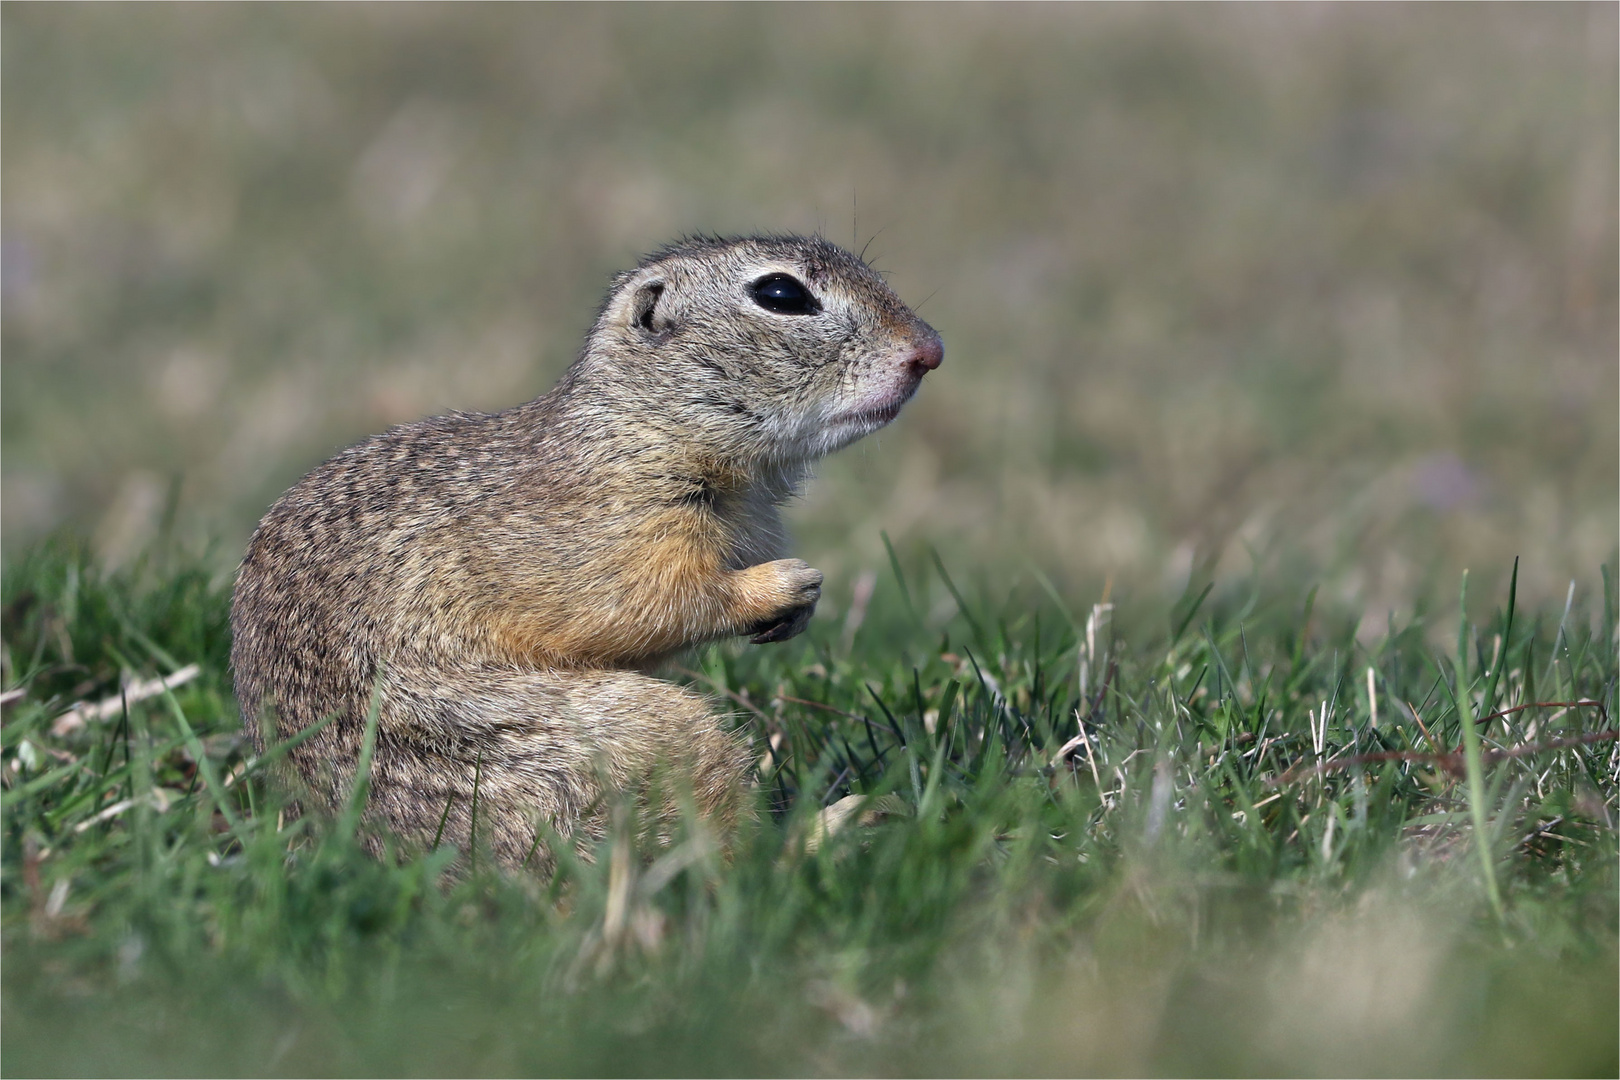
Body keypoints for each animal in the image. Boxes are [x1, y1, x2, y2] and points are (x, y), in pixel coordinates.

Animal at [226, 234, 939, 867]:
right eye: (782, 294)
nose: (930, 350)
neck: (640, 428)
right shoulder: (595, 539)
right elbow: (640, 604)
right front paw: (786, 583)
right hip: (656, 732)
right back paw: (838, 826)